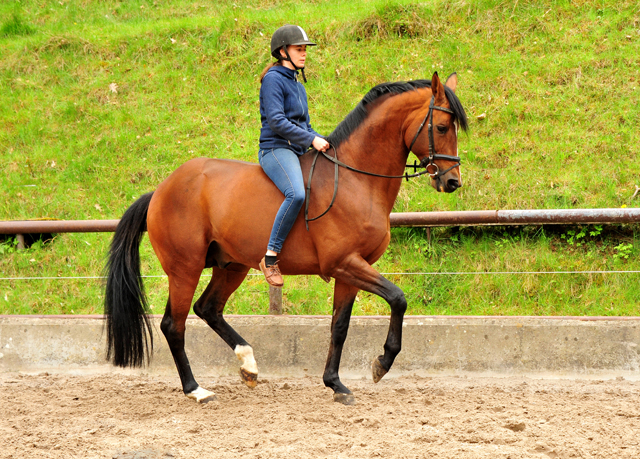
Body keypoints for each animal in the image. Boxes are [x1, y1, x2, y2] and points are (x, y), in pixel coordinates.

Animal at [104, 71, 464, 406]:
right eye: (442, 127)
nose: (452, 182)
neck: (355, 180)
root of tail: (161, 190)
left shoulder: (350, 271)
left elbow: (340, 327)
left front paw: (336, 384)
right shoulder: (345, 263)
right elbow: (398, 299)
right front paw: (382, 363)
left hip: (230, 265)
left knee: (208, 309)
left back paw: (248, 365)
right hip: (185, 269)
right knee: (173, 325)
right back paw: (197, 390)